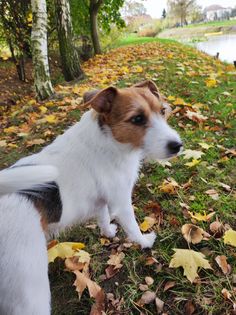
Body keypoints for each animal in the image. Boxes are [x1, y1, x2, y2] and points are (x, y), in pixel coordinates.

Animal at [0, 80, 183, 314]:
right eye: (137, 119)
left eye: (162, 111)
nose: (177, 146)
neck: (108, 141)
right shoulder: (122, 201)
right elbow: (132, 227)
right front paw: (144, 242)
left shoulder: (102, 200)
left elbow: (103, 218)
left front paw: (109, 233)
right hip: (29, 291)